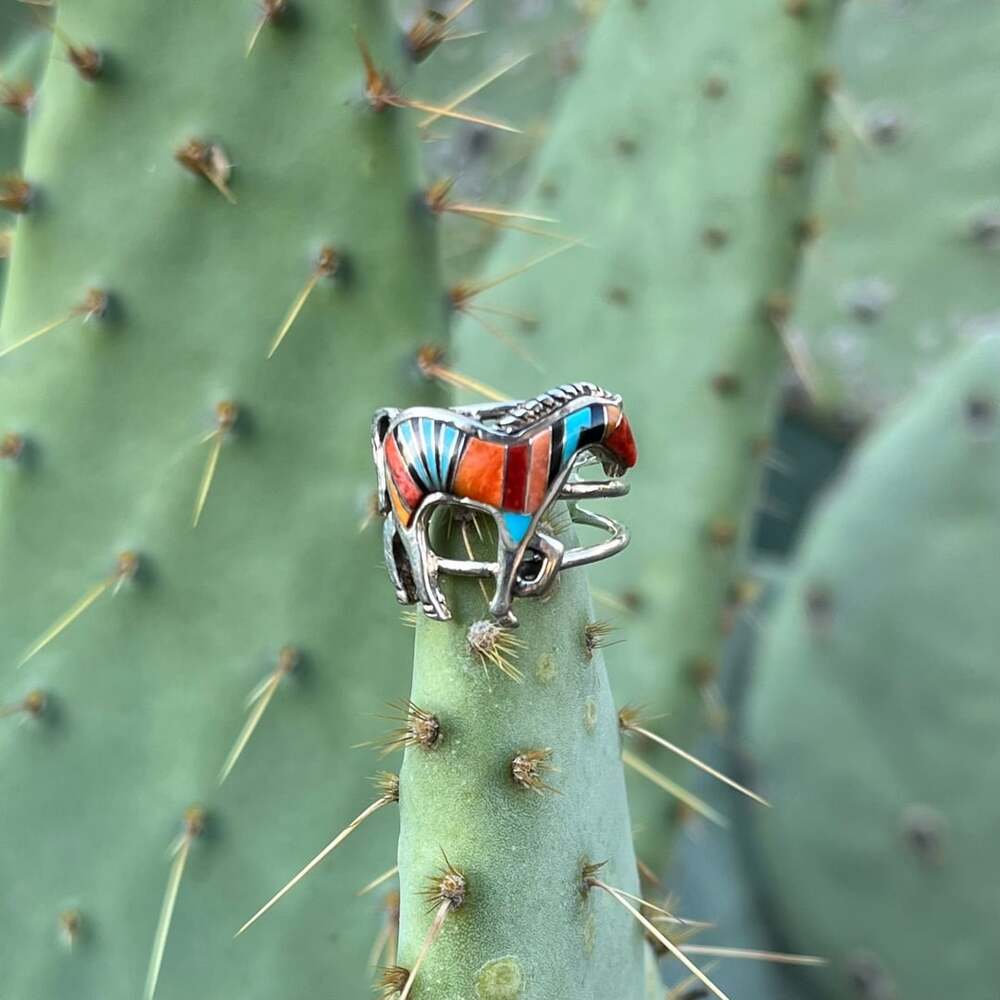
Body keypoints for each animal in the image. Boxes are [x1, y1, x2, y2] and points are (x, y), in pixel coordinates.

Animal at [372, 382, 637, 626]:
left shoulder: (526, 522)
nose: (627, 464)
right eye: (624, 428)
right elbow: (509, 566)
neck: (543, 447)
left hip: (402, 504)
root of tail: (392, 419)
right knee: (415, 552)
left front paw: (528, 583)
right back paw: (435, 607)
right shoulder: (515, 524)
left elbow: (554, 549)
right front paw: (504, 612)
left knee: (390, 531)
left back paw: (405, 591)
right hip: (409, 505)